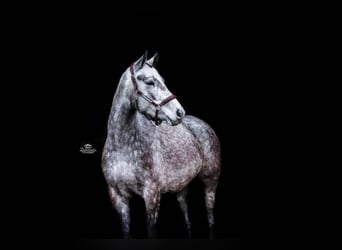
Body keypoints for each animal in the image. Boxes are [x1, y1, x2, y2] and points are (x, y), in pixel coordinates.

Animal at [101, 51, 222, 238]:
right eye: (150, 81)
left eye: (163, 81)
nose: (180, 112)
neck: (122, 146)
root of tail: (203, 124)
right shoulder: (118, 197)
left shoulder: (152, 196)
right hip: (182, 186)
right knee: (187, 217)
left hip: (210, 182)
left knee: (210, 217)